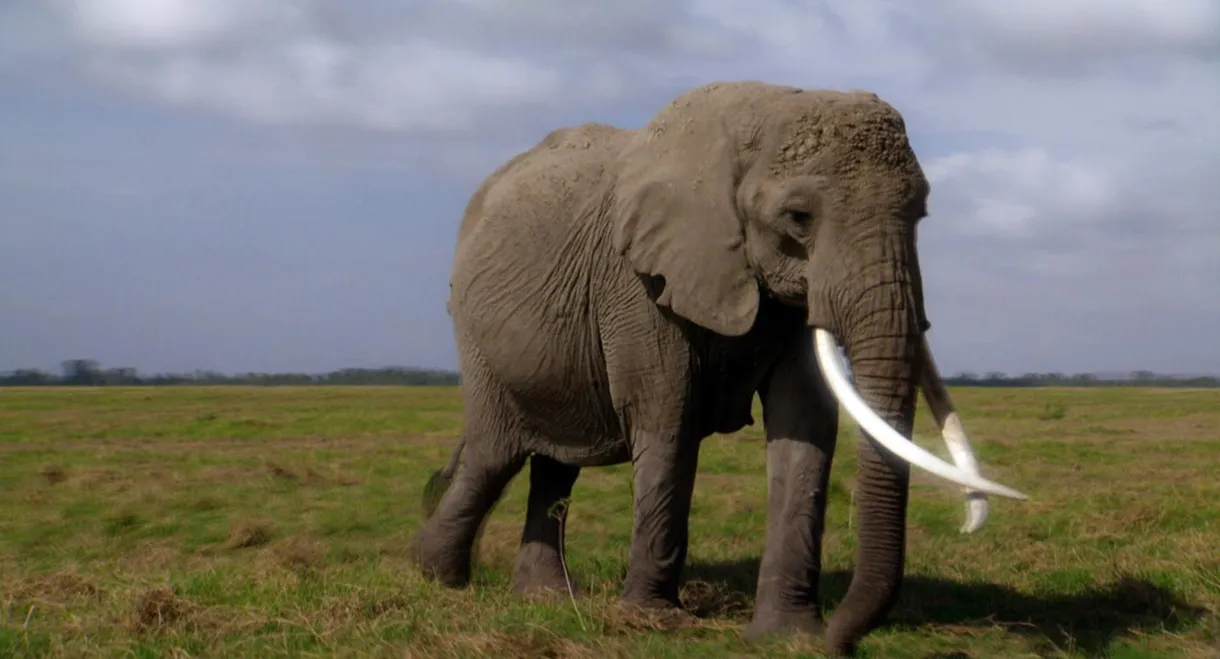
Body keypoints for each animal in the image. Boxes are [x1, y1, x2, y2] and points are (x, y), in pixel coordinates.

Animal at [410, 81, 1027, 656]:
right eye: (798, 217)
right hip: (477, 339)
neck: (763, 112)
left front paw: (787, 637)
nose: (842, 643)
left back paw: (545, 599)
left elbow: (805, 427)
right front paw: (654, 622)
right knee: (494, 455)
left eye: (920, 213)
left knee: (556, 465)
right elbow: (668, 417)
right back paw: (436, 578)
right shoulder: (638, 283)